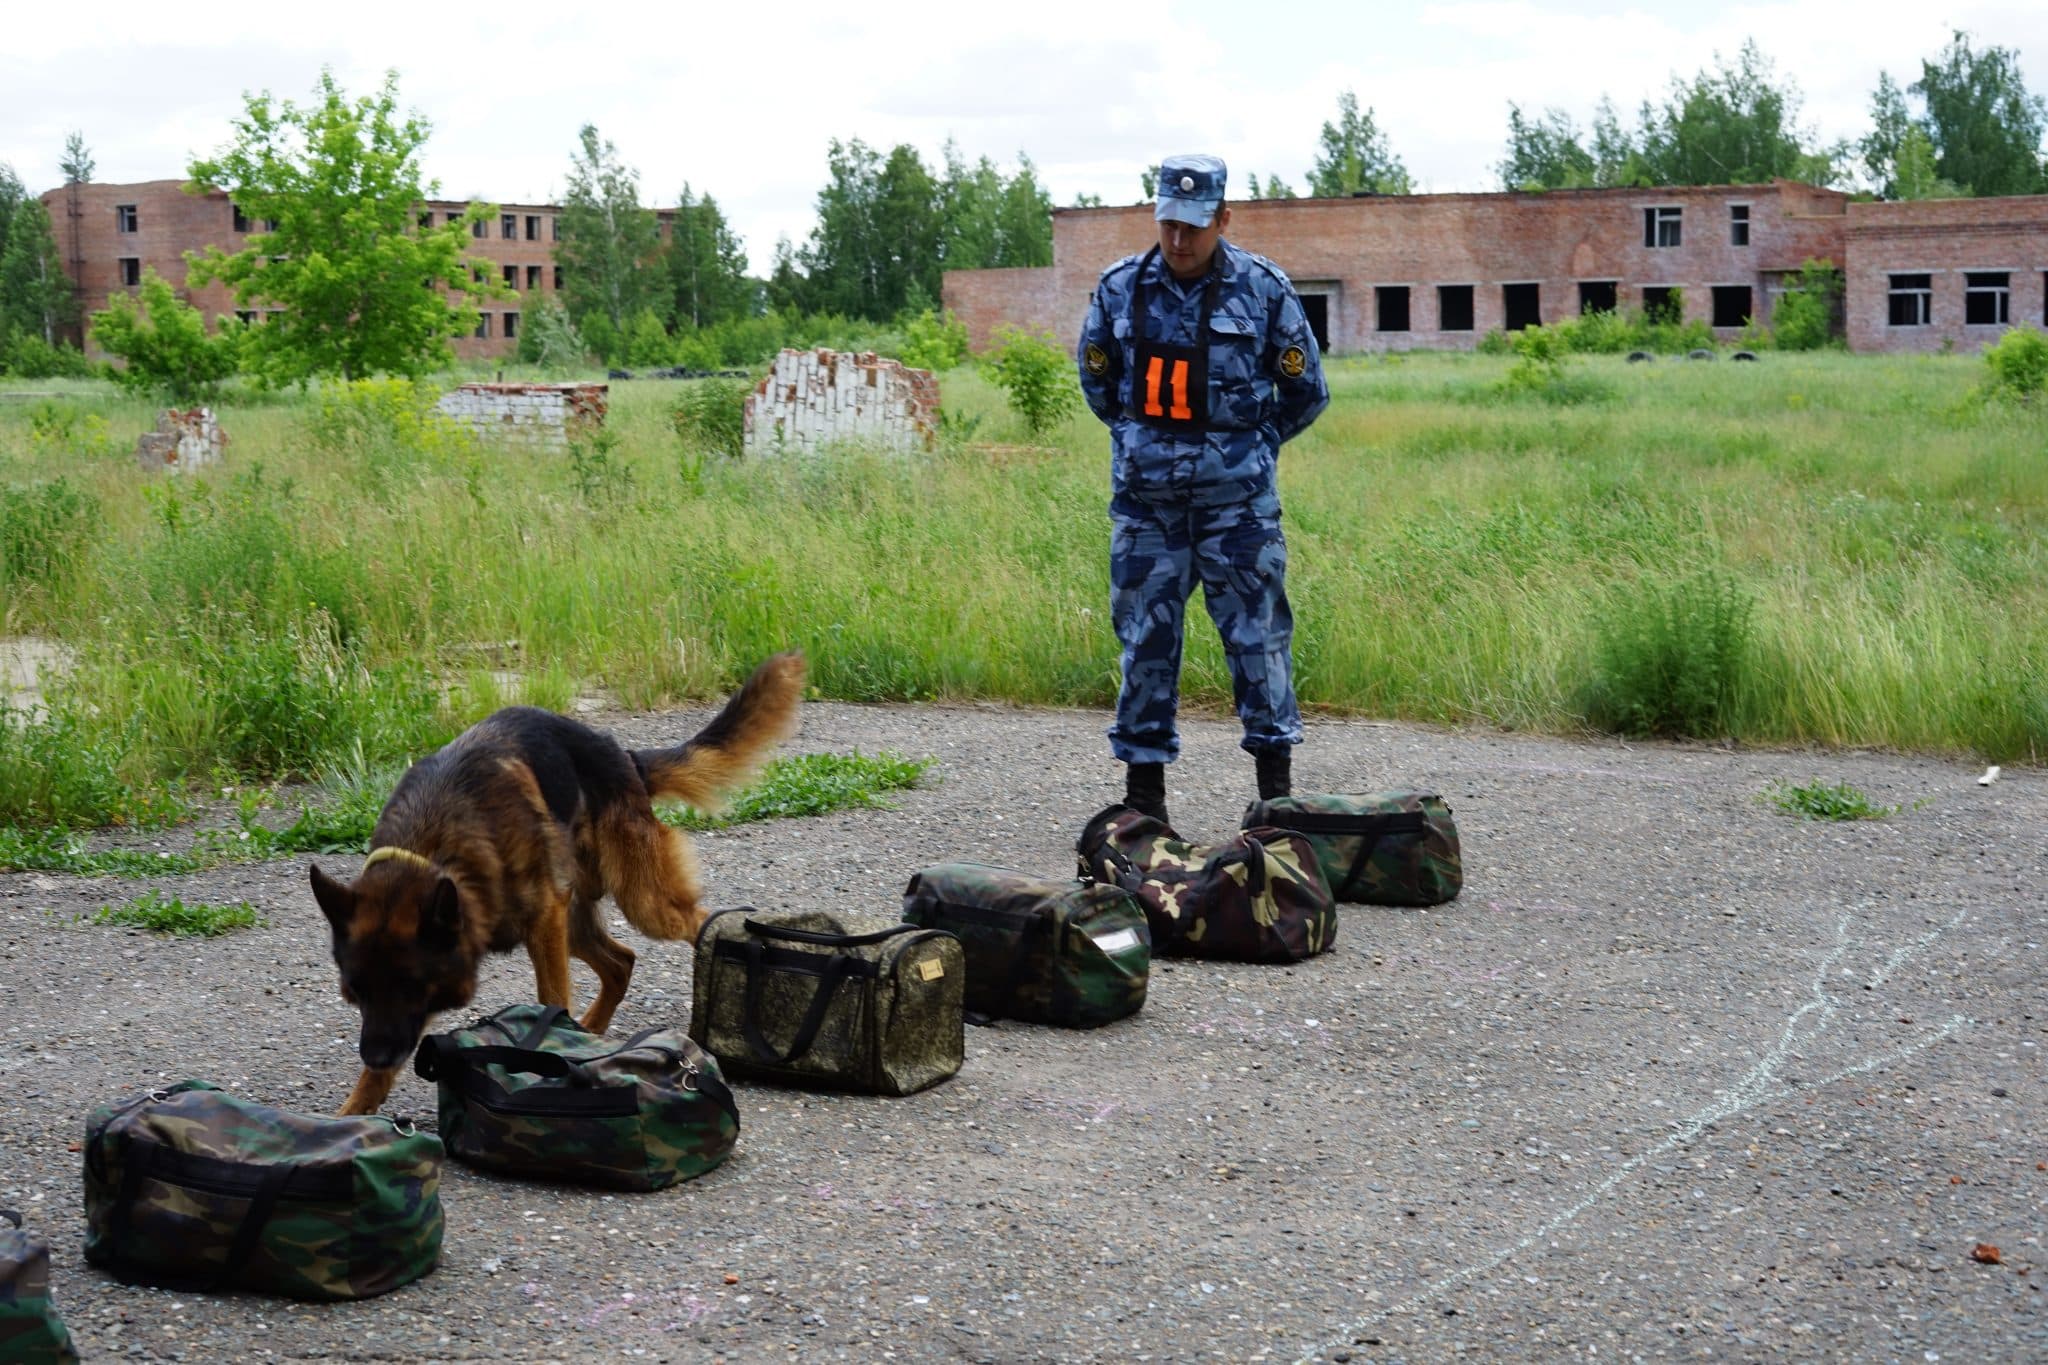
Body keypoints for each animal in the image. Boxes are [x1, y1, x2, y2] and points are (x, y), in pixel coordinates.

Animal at [307, 654, 802, 1113]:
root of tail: (623, 757)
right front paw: (355, 1112)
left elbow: (551, 998)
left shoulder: (542, 921)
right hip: (575, 923)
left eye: (410, 986)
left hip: (638, 904)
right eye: (356, 991)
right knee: (621, 962)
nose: (374, 1055)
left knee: (699, 922)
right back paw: (590, 1035)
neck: (437, 844)